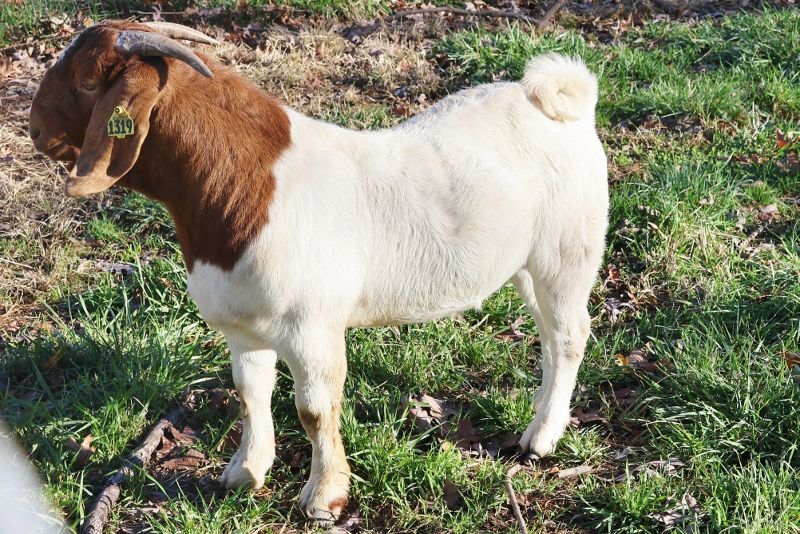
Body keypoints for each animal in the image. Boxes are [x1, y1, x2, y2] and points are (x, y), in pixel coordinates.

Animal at [28, 19, 608, 524]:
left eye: (86, 80)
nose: (35, 129)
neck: (244, 185)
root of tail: (559, 98)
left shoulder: (312, 328)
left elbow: (315, 410)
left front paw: (325, 498)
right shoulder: (244, 328)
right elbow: (249, 394)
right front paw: (243, 474)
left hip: (567, 252)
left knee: (571, 335)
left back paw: (541, 438)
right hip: (528, 266)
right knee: (551, 336)